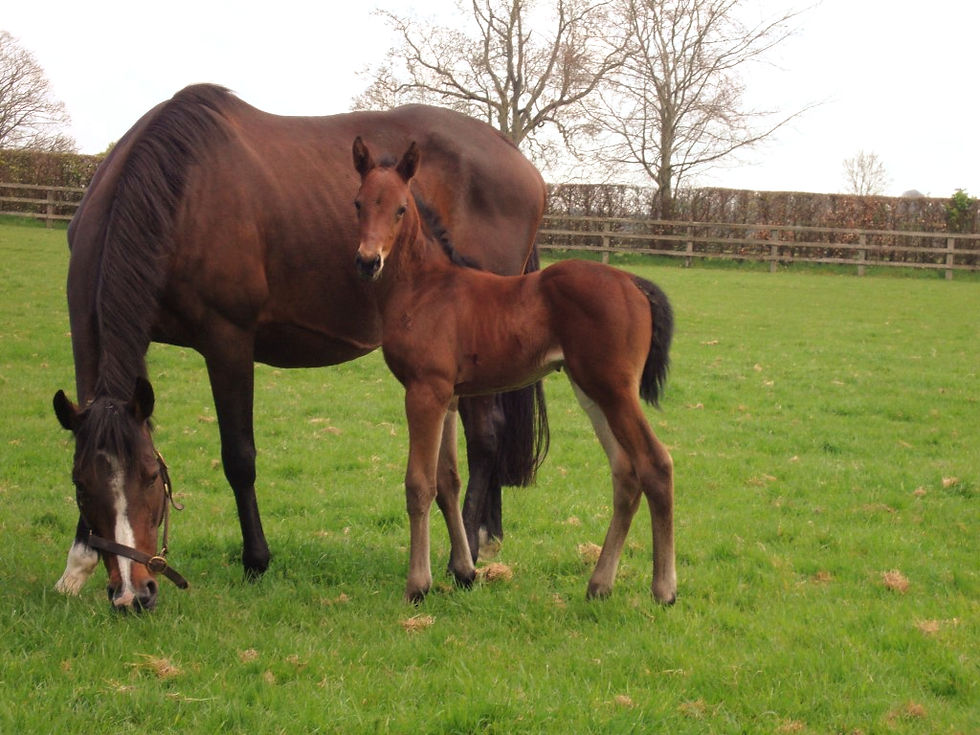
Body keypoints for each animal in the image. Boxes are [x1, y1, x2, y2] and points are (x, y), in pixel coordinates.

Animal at [52, 84, 548, 610]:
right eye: (80, 485)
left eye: (150, 476)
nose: (133, 594)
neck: (180, 192)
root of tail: (519, 159)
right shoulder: (88, 325)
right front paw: (77, 564)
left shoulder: (227, 339)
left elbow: (239, 456)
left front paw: (256, 560)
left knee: (486, 438)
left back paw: (470, 547)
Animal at [351, 137, 677, 604]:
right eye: (359, 203)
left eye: (399, 208)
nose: (367, 261)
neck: (425, 287)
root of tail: (634, 282)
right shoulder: (449, 395)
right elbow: (448, 480)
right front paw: (465, 570)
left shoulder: (423, 391)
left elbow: (420, 483)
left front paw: (419, 584)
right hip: (592, 391)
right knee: (626, 474)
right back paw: (599, 584)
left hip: (615, 390)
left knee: (656, 464)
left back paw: (664, 588)